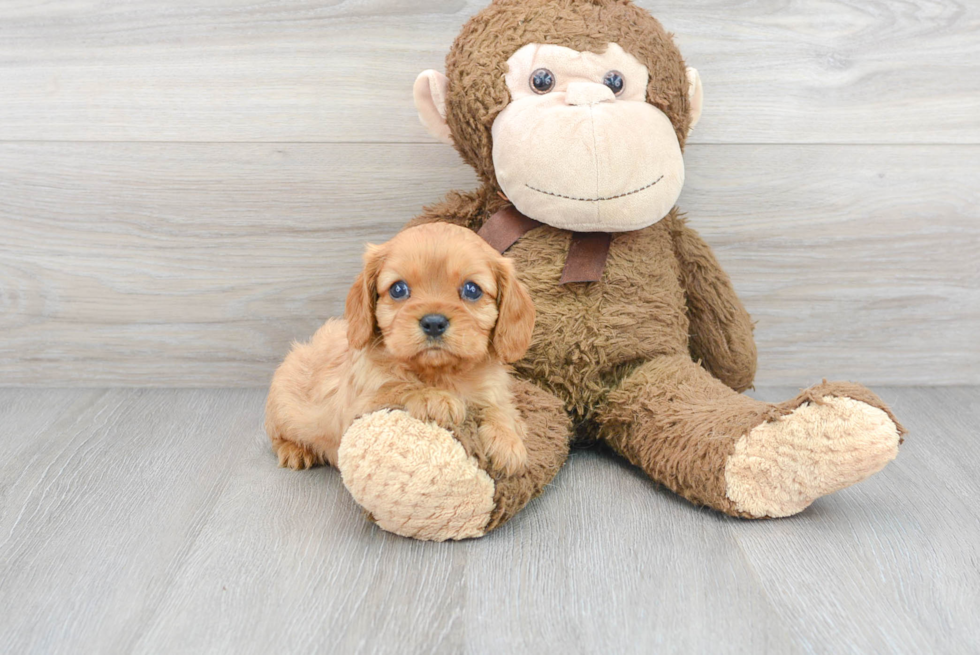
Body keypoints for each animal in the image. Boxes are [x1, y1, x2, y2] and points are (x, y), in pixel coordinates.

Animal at [264, 224, 536, 476]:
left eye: (472, 289)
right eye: (398, 289)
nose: (434, 322)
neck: (440, 374)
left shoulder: (495, 391)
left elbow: (500, 408)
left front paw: (506, 439)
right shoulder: (360, 408)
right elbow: (397, 387)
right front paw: (435, 398)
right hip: (281, 404)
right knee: (278, 436)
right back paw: (295, 451)